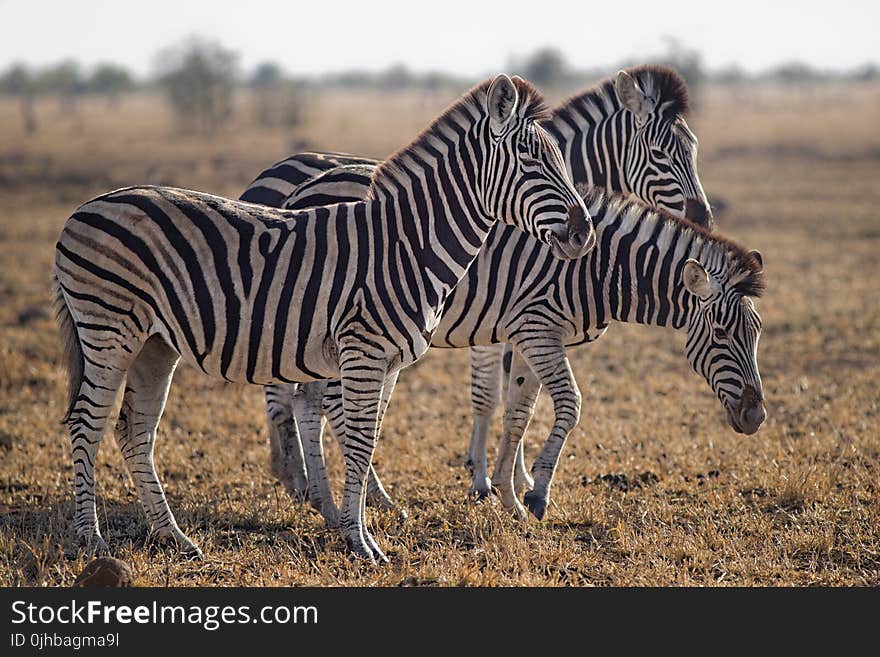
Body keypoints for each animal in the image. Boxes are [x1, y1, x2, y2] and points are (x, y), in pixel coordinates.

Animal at [49, 74, 600, 560]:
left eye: (561, 161)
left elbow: (368, 440)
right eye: (530, 160)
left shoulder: (386, 361)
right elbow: (356, 443)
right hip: (108, 330)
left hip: (154, 344)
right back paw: (91, 539)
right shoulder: (364, 352)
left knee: (134, 430)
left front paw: (356, 528)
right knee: (87, 423)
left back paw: (175, 538)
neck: (407, 246)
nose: (585, 234)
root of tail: (85, 207)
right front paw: (360, 543)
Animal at [276, 182, 764, 524]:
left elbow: (519, 414)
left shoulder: (534, 336)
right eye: (722, 333)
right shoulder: (536, 327)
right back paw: (364, 502)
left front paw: (507, 495)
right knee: (327, 407)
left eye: (757, 333)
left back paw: (330, 502)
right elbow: (570, 404)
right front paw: (537, 493)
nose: (757, 417)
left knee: (308, 402)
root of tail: (303, 190)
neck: (597, 267)